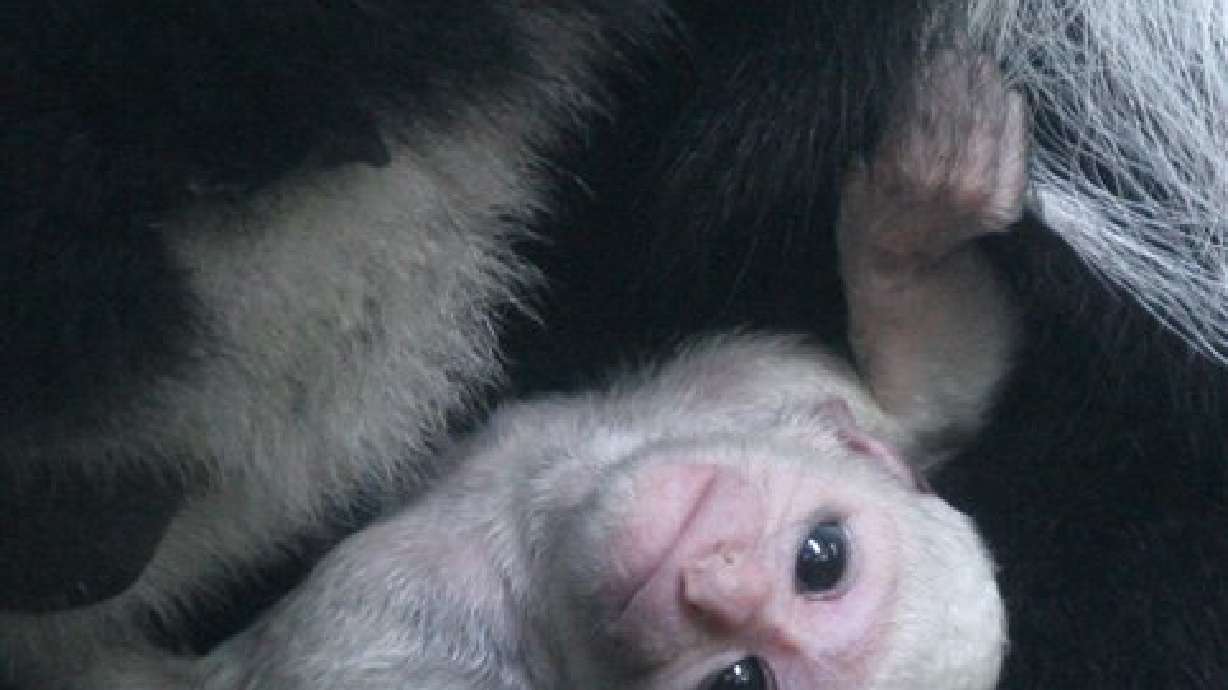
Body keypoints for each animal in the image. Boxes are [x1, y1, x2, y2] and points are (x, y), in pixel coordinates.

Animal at [188, 50, 1020, 690]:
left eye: (740, 679)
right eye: (822, 559)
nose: (714, 583)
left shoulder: (399, 661)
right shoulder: (768, 384)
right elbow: (919, 405)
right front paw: (913, 231)